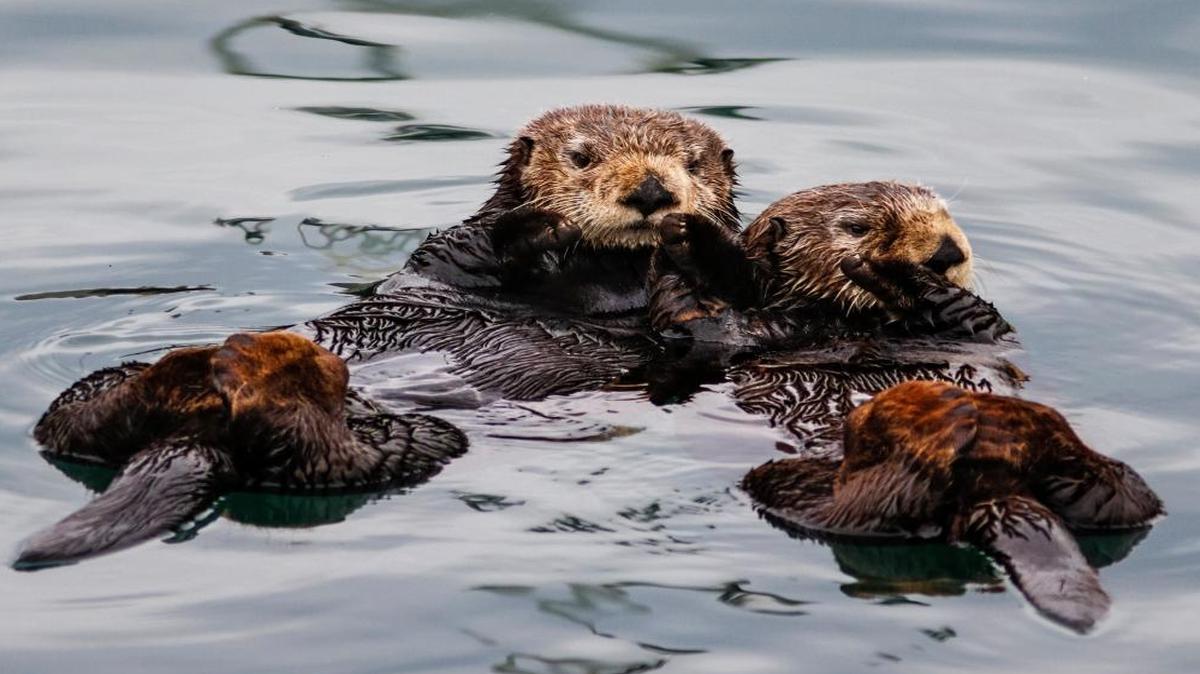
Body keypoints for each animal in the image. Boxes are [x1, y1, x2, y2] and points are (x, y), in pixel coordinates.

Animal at [740, 381, 1164, 633]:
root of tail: (993, 492)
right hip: (811, 495)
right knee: (887, 495)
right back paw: (945, 414)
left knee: (1125, 498)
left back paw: (1002, 412)